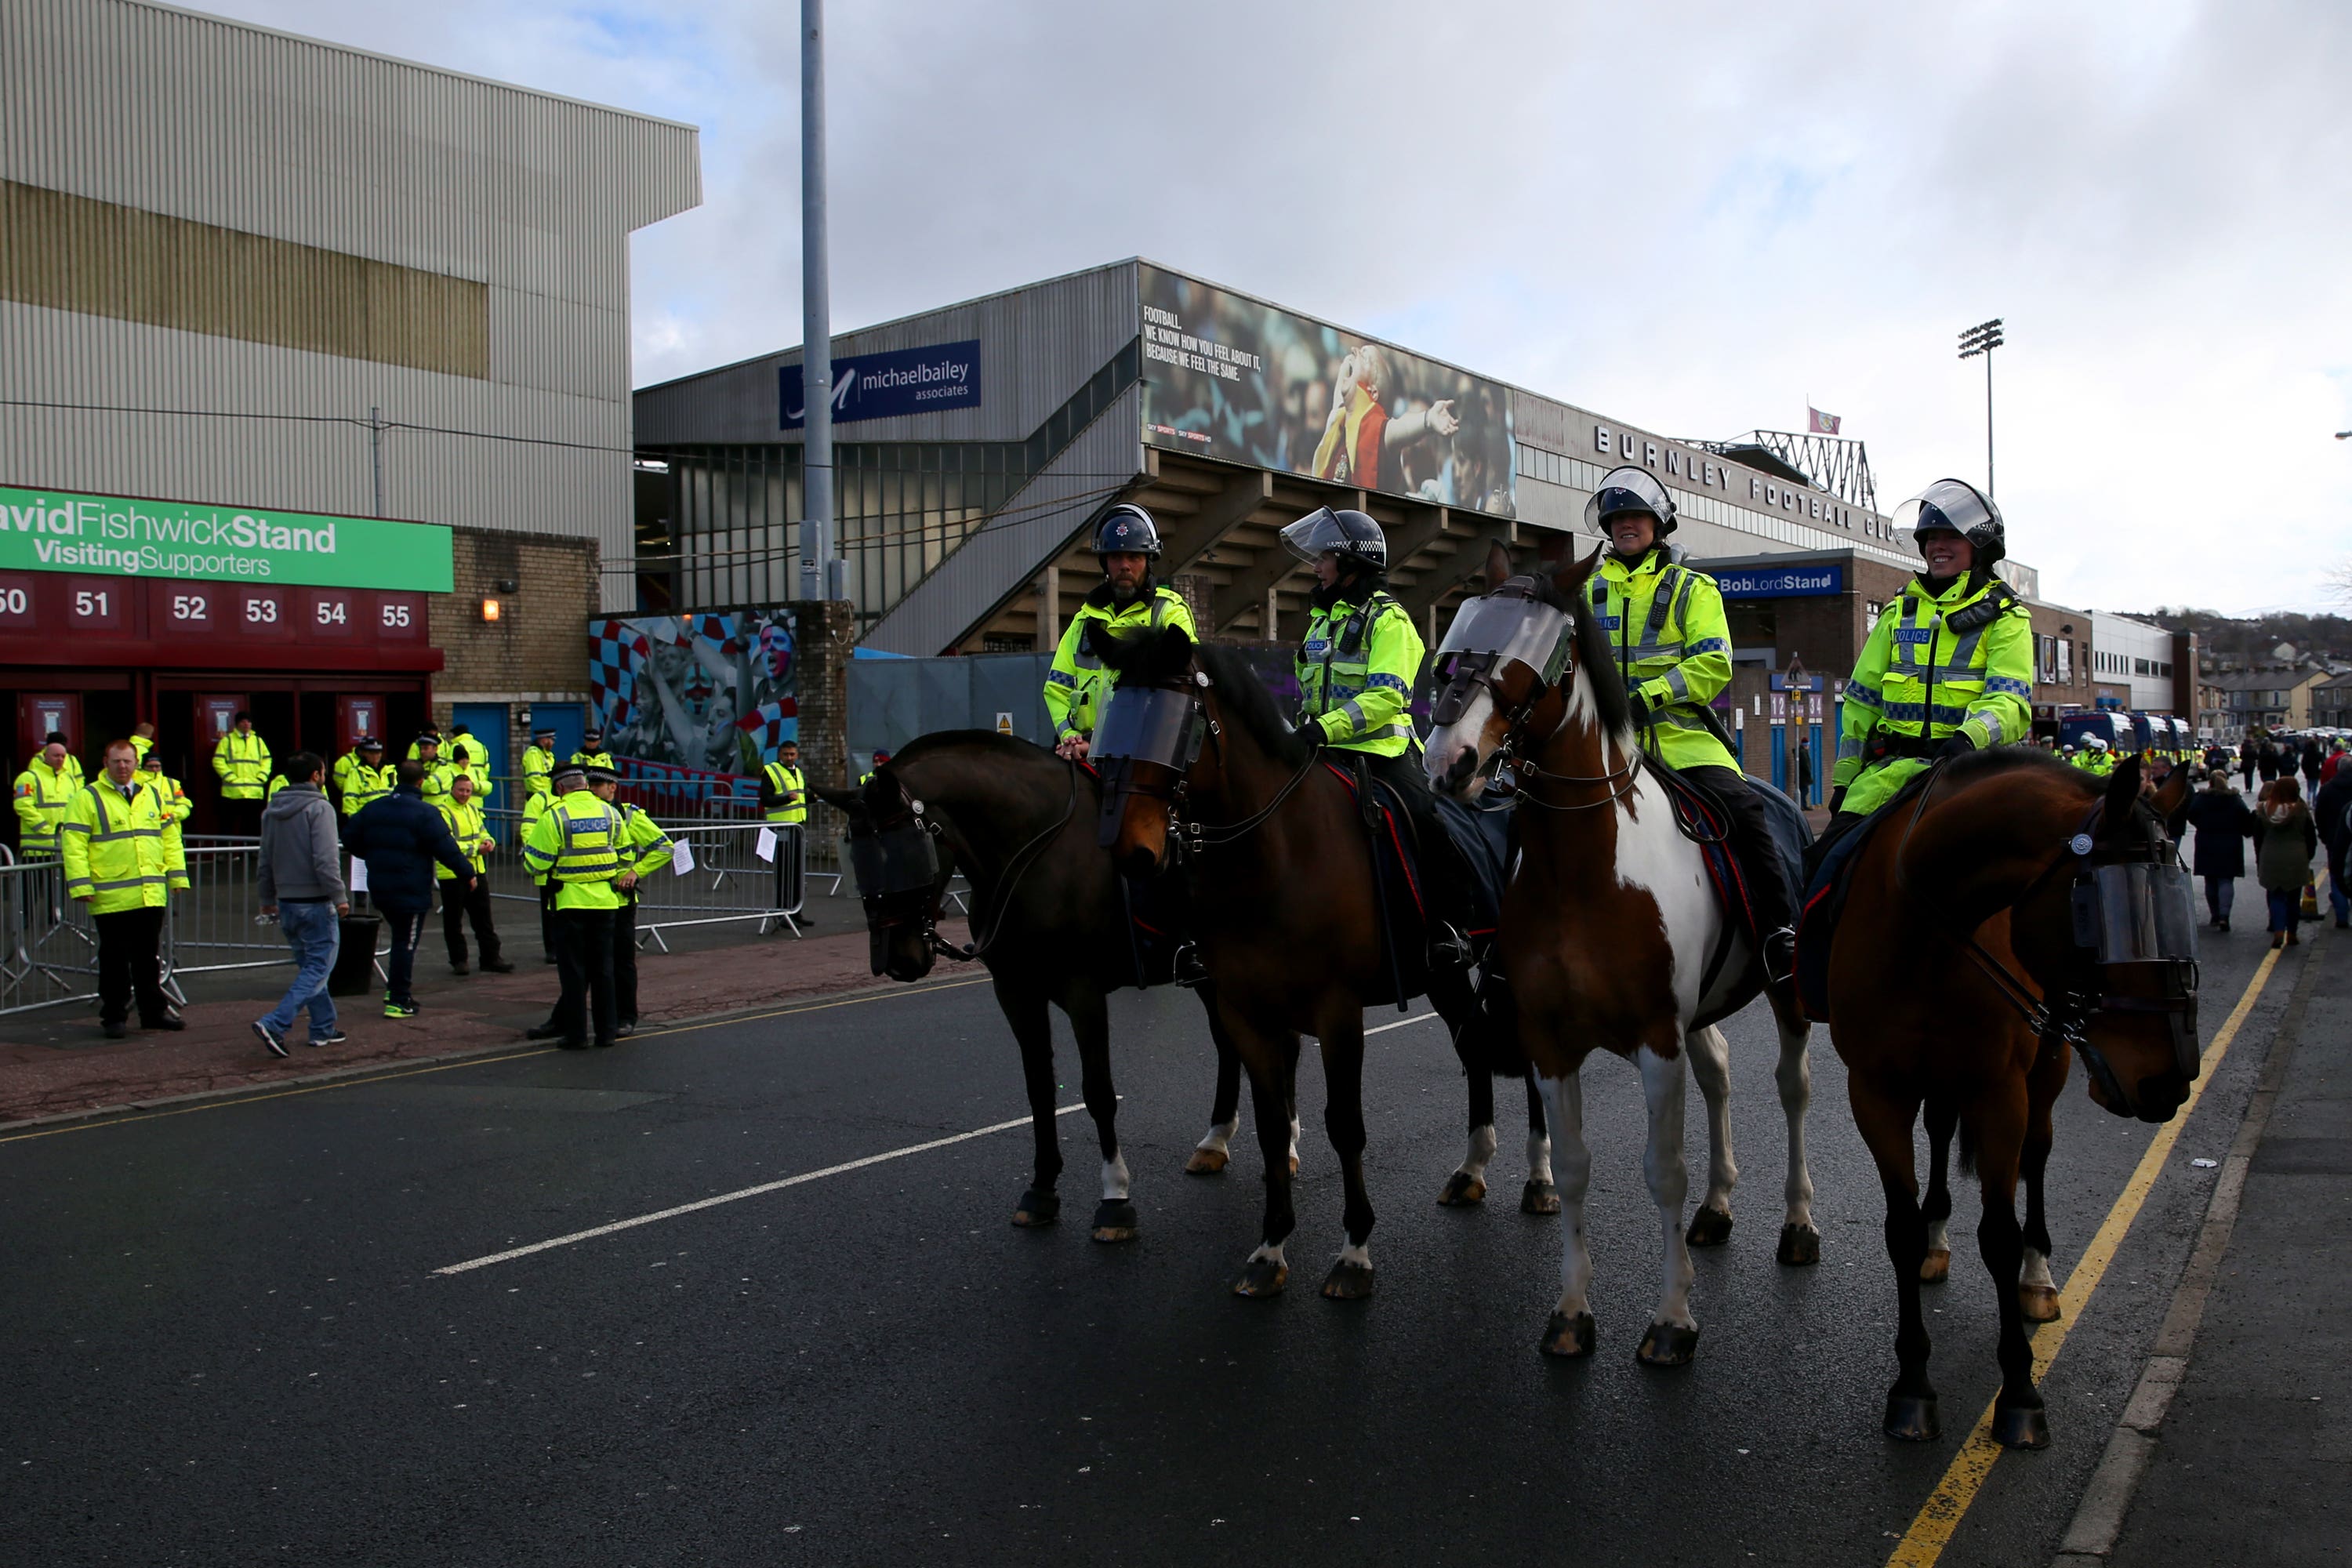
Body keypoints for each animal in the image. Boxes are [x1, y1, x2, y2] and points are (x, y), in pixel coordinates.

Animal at [823, 728, 1279, 1241]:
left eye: (907, 852)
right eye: (856, 854)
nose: (898, 961)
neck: (1032, 855)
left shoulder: (1083, 992)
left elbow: (1098, 1093)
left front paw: (1115, 1198)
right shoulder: (1016, 992)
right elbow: (1040, 1089)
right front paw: (1041, 1190)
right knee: (1229, 1044)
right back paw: (1216, 1139)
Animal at [1087, 625, 1534, 1298]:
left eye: (1178, 723)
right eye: (1114, 716)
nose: (1132, 852)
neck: (1276, 855)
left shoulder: (1337, 1013)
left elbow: (1344, 1124)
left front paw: (1354, 1253)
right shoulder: (1247, 1011)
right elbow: (1273, 1125)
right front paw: (1270, 1247)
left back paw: (1543, 1181)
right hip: (1447, 972)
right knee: (1476, 1050)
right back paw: (1472, 1169)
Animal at [1411, 545, 1816, 1363]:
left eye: (1532, 660)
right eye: (1451, 649)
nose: (1450, 760)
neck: (1587, 869)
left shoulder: (1658, 1039)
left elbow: (1663, 1173)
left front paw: (1672, 1319)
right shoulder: (1550, 1042)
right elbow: (1571, 1170)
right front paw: (1571, 1311)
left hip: (1785, 990)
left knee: (1792, 1089)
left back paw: (1796, 1223)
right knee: (1720, 1073)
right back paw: (1719, 1207)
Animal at [1816, 752, 2201, 1457]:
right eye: (2100, 913)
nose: (2168, 1083)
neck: (1928, 933)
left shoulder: (2000, 1092)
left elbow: (2001, 1231)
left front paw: (2020, 1392)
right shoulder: (1876, 1090)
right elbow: (1900, 1228)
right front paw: (1912, 1385)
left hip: (2045, 1070)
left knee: (2037, 1158)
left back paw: (2036, 1277)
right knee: (1942, 1133)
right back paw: (1939, 1236)